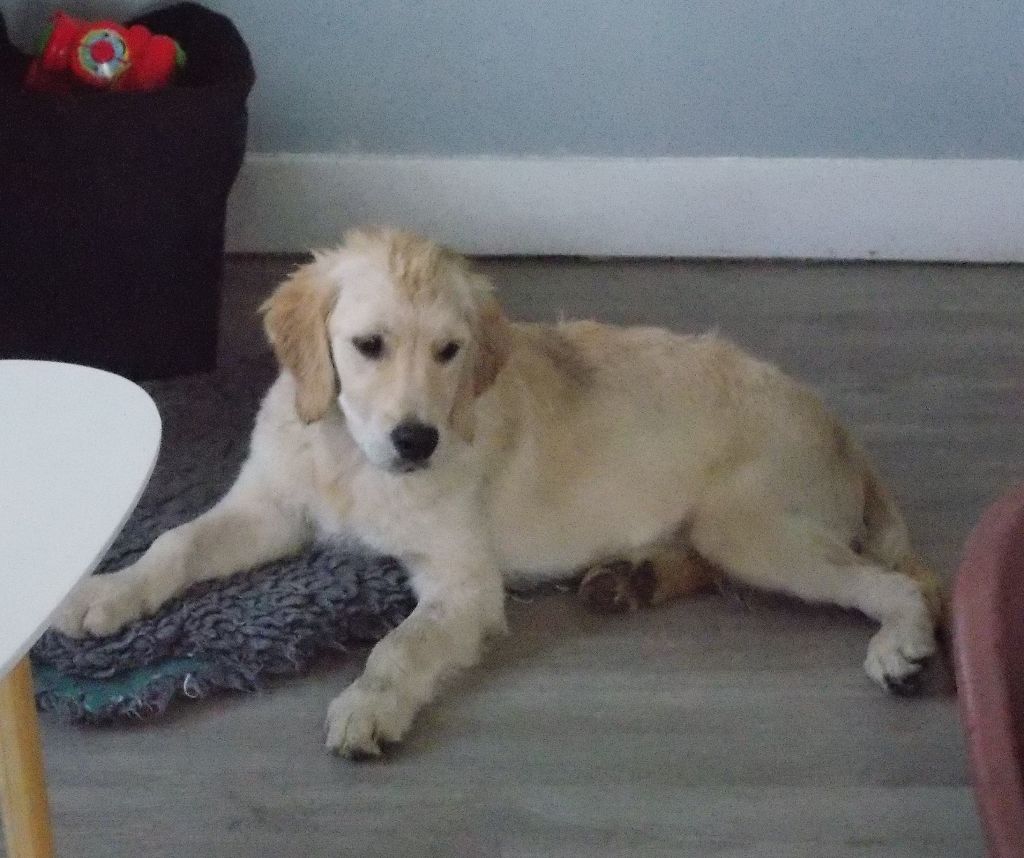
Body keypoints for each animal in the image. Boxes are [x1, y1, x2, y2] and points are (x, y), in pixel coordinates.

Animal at [53, 228, 944, 758]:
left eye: (450, 351)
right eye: (367, 346)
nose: (418, 441)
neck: (351, 459)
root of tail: (840, 430)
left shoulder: (463, 581)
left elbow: (401, 643)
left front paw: (370, 706)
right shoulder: (269, 507)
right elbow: (177, 541)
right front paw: (104, 592)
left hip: (752, 527)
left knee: (900, 582)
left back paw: (902, 647)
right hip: (730, 533)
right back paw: (629, 577)